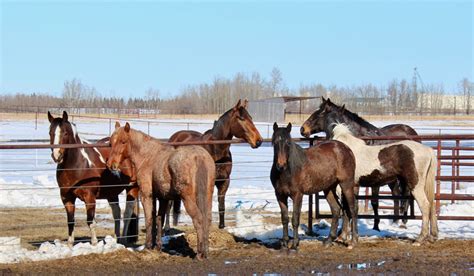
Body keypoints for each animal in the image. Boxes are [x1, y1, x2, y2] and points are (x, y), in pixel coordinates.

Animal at [47, 111, 140, 245]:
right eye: (50, 132)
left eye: (65, 133)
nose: (56, 155)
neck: (78, 165)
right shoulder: (66, 198)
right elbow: (70, 221)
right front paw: (70, 244)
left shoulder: (89, 197)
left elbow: (90, 220)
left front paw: (94, 243)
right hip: (111, 193)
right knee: (116, 213)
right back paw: (116, 238)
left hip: (132, 188)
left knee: (127, 213)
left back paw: (122, 239)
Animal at [107, 122, 215, 258]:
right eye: (111, 142)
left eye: (123, 141)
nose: (111, 164)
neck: (148, 156)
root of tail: (199, 156)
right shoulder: (163, 198)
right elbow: (159, 219)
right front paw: (157, 246)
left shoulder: (146, 196)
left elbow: (149, 219)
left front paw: (148, 246)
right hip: (208, 196)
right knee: (207, 219)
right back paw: (206, 251)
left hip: (188, 199)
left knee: (198, 219)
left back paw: (200, 254)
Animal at [168, 99, 264, 229]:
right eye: (241, 118)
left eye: (251, 118)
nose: (258, 141)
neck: (215, 150)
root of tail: (175, 137)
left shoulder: (224, 181)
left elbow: (221, 205)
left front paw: (222, 225)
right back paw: (166, 227)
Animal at [302, 97, 416, 231]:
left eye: (319, 113)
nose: (303, 129)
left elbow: (372, 202)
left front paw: (374, 226)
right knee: (397, 194)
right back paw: (395, 220)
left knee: (407, 194)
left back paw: (404, 220)